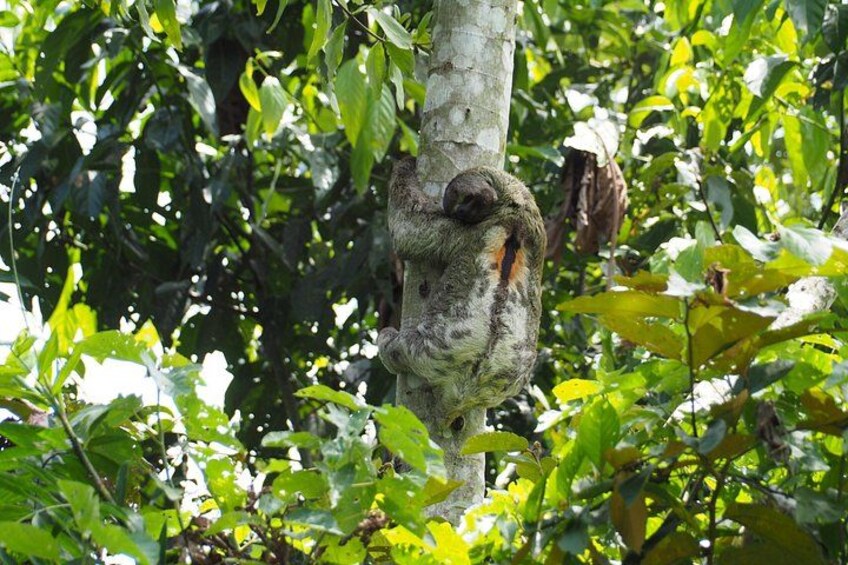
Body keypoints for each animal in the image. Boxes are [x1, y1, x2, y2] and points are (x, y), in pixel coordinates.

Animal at [378, 157, 546, 419]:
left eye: (465, 200)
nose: (463, 212)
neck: (513, 213)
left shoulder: (463, 232)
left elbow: (409, 230)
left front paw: (404, 163)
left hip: (432, 351)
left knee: (397, 346)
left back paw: (389, 341)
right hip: (512, 377)